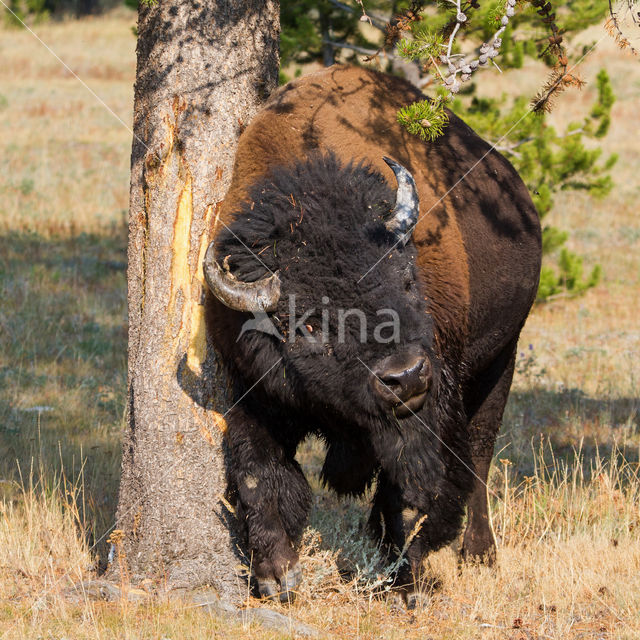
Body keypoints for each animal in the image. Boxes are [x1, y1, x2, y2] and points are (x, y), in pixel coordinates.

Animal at [204, 65, 540, 604]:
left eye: (406, 280)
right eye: (309, 323)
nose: (405, 377)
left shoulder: (435, 395)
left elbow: (416, 487)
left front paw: (409, 579)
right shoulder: (251, 390)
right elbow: (259, 473)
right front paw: (277, 575)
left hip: (499, 359)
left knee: (481, 455)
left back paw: (478, 553)